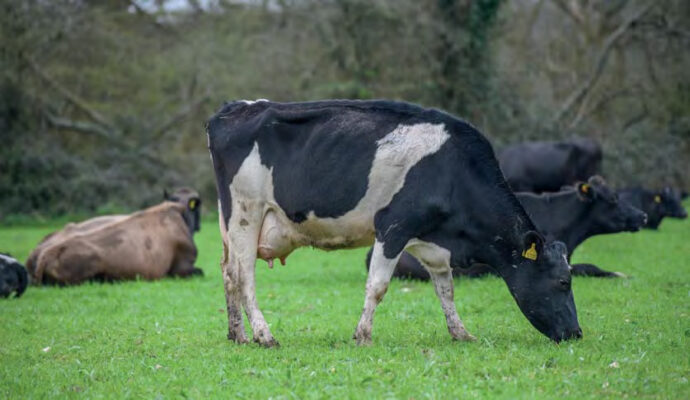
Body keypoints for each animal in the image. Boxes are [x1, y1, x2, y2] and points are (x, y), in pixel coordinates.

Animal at [207, 99, 582, 347]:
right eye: (563, 282)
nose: (576, 333)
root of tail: (234, 109)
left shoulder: (431, 242)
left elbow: (446, 290)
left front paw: (461, 333)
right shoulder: (394, 225)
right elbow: (377, 286)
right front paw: (362, 336)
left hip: (229, 223)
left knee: (228, 273)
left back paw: (238, 335)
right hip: (246, 213)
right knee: (244, 276)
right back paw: (264, 334)